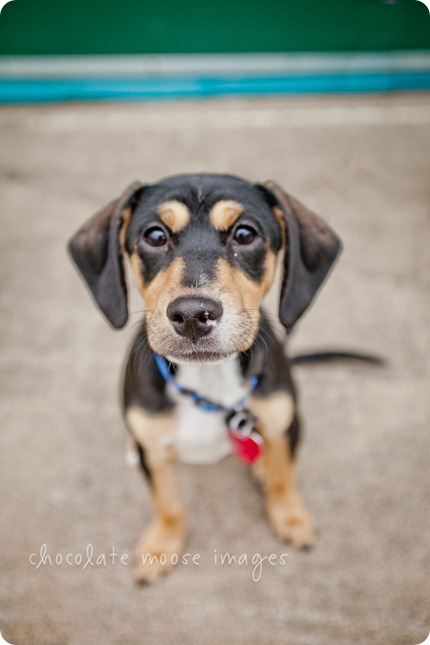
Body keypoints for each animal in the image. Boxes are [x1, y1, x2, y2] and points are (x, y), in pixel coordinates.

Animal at [69, 172, 340, 584]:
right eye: (154, 235)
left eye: (245, 234)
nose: (193, 315)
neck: (209, 379)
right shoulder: (155, 455)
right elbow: (167, 503)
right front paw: (160, 546)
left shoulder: (286, 423)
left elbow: (283, 478)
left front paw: (291, 518)